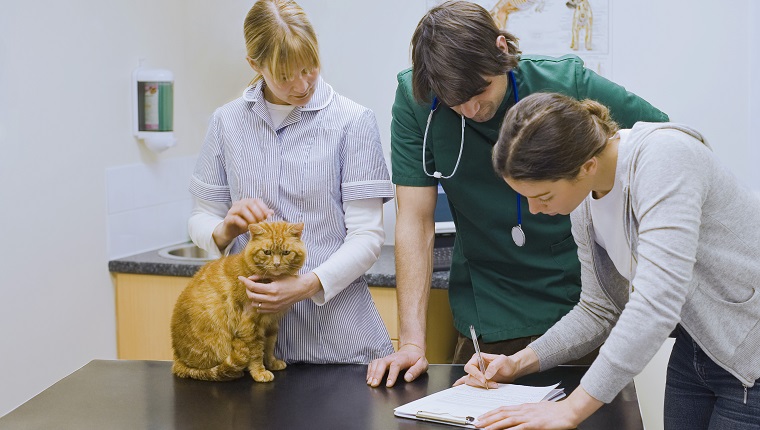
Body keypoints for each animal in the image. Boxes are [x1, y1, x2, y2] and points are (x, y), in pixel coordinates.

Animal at [170, 220, 306, 382]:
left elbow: (269, 347)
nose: (277, 264)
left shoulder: (271, 324)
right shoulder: (249, 325)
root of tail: (178, 358)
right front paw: (260, 372)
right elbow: (256, 352)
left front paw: (272, 363)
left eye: (286, 252)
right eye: (267, 252)